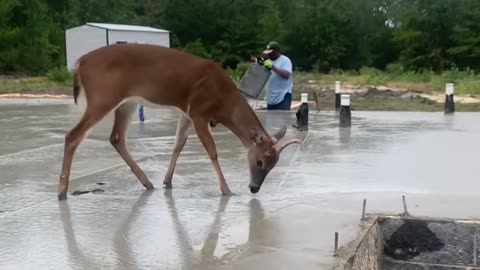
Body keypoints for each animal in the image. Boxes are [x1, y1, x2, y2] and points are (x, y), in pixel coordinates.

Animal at [58, 43, 302, 200]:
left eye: (274, 164)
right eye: (259, 162)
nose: (254, 188)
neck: (223, 101)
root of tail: (80, 63)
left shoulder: (187, 113)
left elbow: (178, 144)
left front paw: (167, 181)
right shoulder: (200, 111)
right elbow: (211, 150)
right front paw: (226, 190)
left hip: (127, 102)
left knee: (116, 137)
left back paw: (147, 183)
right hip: (103, 97)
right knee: (73, 134)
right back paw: (62, 190)